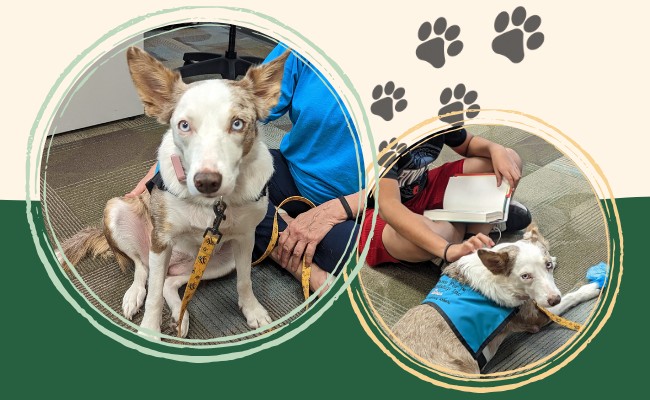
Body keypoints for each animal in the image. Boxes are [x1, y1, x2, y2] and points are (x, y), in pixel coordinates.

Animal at [57, 47, 286, 340]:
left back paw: (180, 315)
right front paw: (149, 331)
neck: (213, 205)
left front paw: (253, 310)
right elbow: (153, 296)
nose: (207, 182)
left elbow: (245, 281)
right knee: (143, 270)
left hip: (219, 261)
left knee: (170, 282)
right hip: (122, 217)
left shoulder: (246, 239)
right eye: (184, 125)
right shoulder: (161, 238)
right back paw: (134, 296)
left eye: (237, 124)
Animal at [390, 225, 596, 376]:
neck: (498, 278)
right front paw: (591, 288)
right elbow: (571, 296)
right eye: (525, 276)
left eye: (548, 266)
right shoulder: (535, 317)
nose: (554, 299)